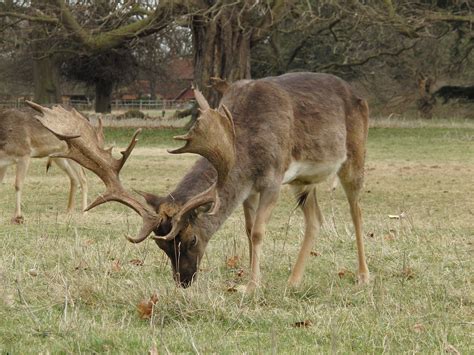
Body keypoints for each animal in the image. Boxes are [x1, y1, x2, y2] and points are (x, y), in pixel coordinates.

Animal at [26, 72, 370, 292]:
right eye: (161, 246)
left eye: (191, 240)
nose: (184, 281)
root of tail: (357, 94)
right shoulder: (249, 189)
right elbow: (248, 231)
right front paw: (250, 279)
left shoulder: (273, 176)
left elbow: (259, 232)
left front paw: (252, 286)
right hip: (304, 179)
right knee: (315, 220)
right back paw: (293, 281)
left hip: (354, 155)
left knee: (356, 211)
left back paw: (363, 275)